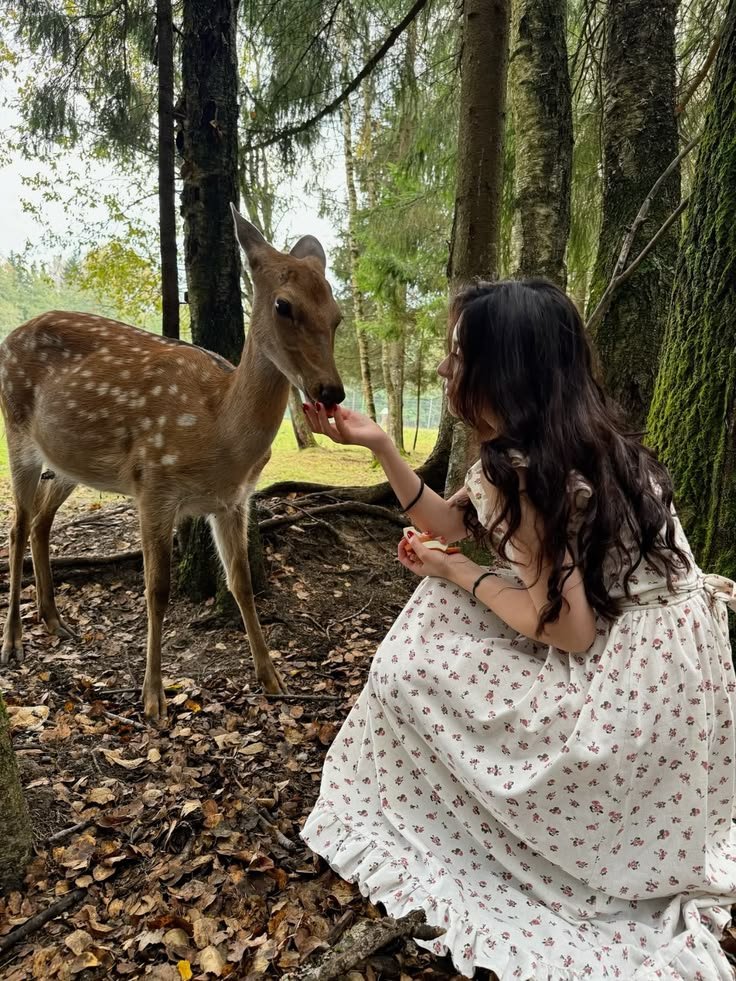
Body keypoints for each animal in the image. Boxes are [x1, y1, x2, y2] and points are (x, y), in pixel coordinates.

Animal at [0, 206, 345, 721]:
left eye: (337, 314)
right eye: (284, 305)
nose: (331, 391)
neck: (218, 427)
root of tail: (8, 338)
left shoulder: (232, 501)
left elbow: (241, 583)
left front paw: (272, 677)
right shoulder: (153, 483)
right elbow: (156, 590)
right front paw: (153, 697)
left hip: (68, 463)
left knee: (41, 522)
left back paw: (54, 620)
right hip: (17, 432)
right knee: (17, 528)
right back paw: (13, 643)